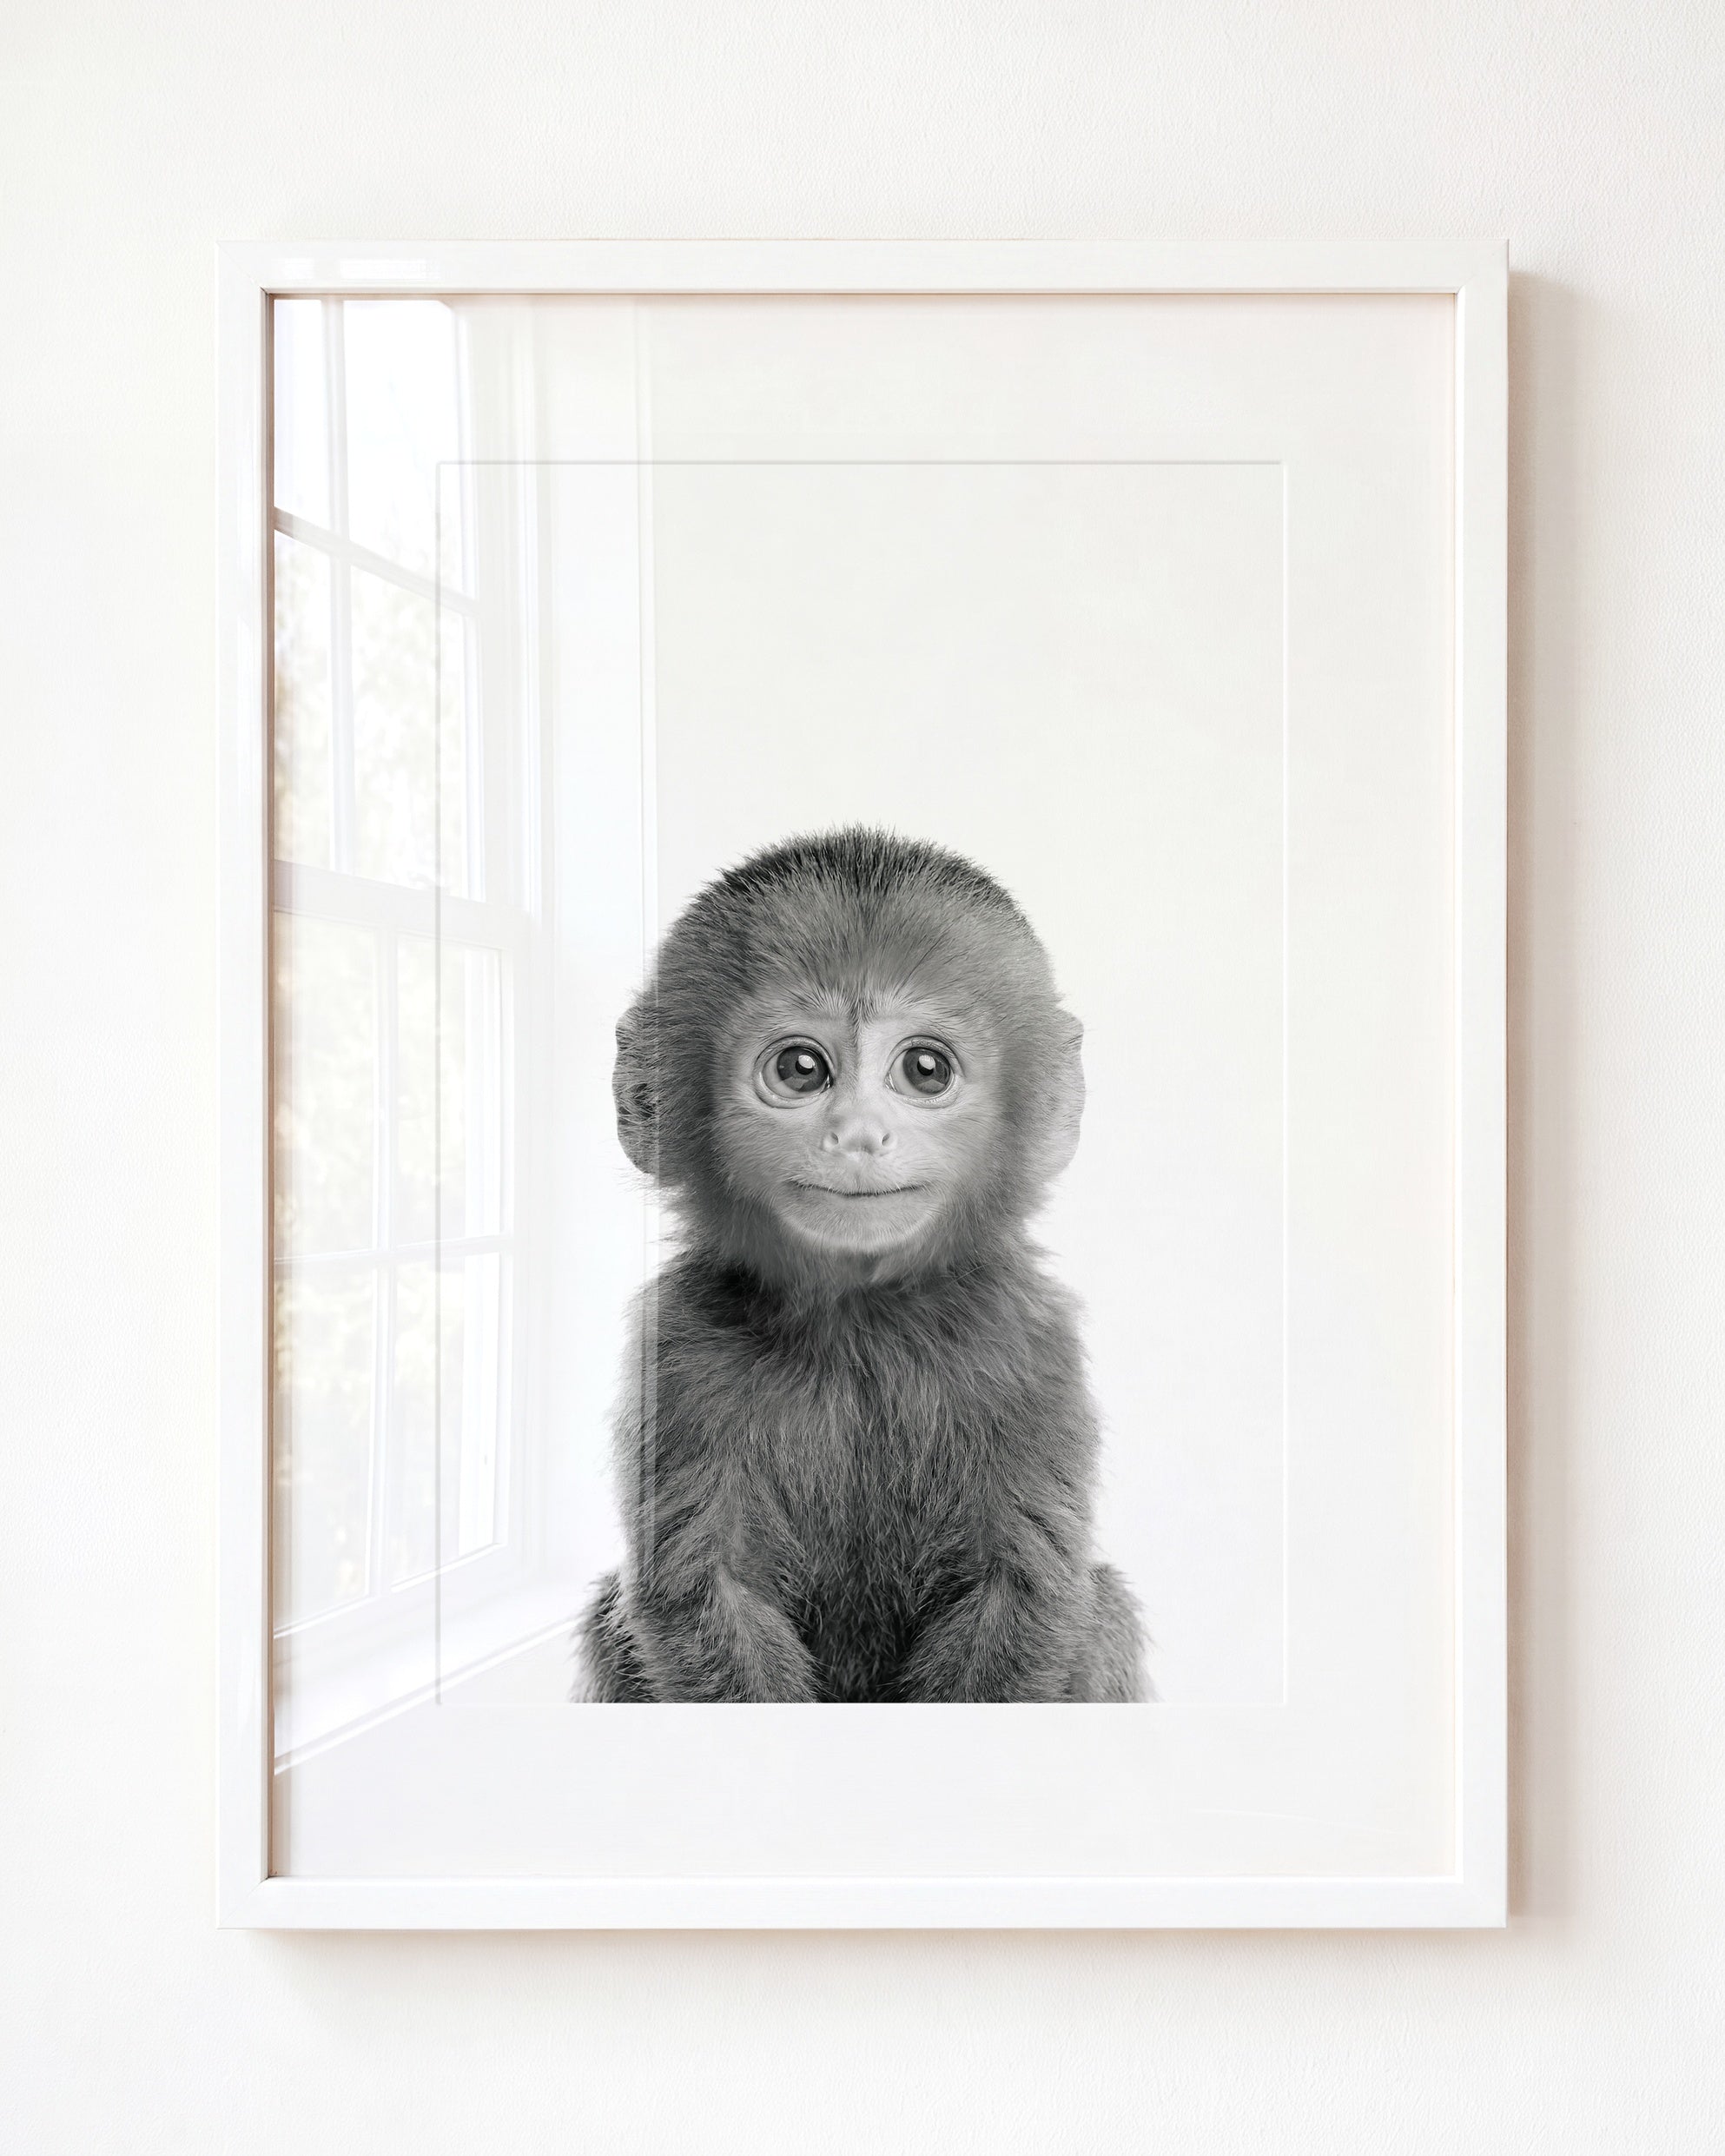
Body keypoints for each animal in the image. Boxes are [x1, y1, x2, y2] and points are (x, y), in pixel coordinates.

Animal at [575, 826, 1145, 1703]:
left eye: (925, 1069)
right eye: (801, 1069)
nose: (858, 1135)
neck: (861, 1324)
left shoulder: (1031, 1342)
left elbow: (1021, 1589)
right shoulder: (676, 1350)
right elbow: (704, 1592)